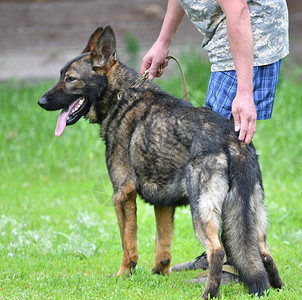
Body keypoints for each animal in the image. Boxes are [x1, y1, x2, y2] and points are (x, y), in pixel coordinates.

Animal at [37, 27, 284, 298]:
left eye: (70, 79)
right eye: (61, 76)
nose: (41, 102)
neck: (120, 97)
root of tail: (232, 140)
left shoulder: (122, 195)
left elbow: (127, 242)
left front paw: (124, 274)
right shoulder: (164, 203)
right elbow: (163, 244)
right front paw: (160, 274)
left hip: (203, 213)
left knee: (217, 252)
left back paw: (208, 293)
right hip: (251, 217)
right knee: (264, 254)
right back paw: (276, 288)